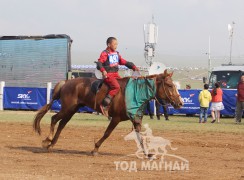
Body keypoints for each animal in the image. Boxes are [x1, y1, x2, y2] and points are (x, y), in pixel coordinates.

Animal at [33, 69, 183, 155]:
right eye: (169, 85)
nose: (180, 102)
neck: (134, 93)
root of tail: (66, 82)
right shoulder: (115, 118)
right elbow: (107, 133)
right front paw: (95, 149)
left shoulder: (136, 120)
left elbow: (141, 137)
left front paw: (147, 153)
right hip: (67, 109)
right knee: (54, 119)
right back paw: (48, 140)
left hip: (71, 110)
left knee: (61, 124)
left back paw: (51, 144)